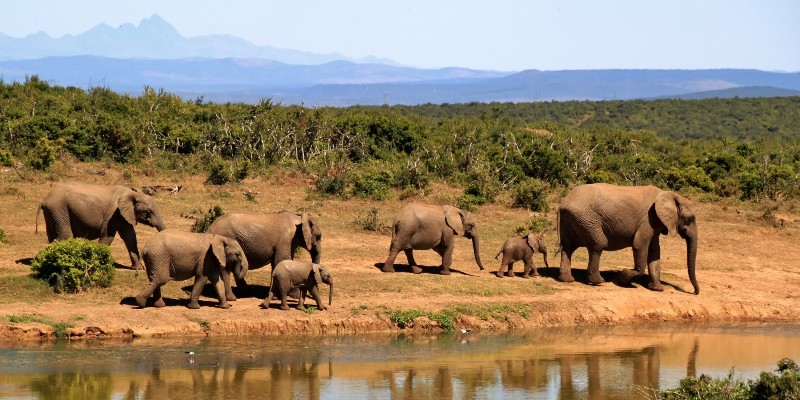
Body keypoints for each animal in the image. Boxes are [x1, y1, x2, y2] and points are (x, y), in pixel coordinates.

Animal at [36, 184, 166, 272]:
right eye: (148, 212)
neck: (132, 194)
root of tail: (44, 199)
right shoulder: (113, 214)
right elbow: (108, 236)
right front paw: (97, 265)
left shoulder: (124, 215)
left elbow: (130, 237)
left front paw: (138, 268)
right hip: (59, 210)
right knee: (65, 236)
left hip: (53, 212)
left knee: (53, 236)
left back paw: (44, 259)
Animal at [556, 184, 700, 294]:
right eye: (690, 218)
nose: (694, 292)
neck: (670, 195)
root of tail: (563, 203)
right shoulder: (648, 220)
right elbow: (639, 245)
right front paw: (623, 278)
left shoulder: (655, 223)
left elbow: (654, 252)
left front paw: (657, 289)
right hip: (587, 220)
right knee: (598, 244)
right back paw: (598, 281)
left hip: (573, 220)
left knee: (568, 248)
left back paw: (567, 280)